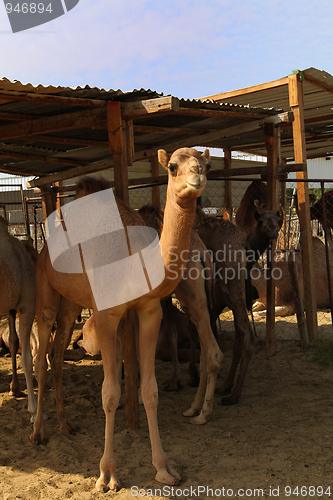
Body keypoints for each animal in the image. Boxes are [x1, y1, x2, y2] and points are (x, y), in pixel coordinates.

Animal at [29, 147, 219, 492]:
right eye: (173, 167)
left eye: (206, 164)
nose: (197, 176)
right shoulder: (106, 314)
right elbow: (110, 392)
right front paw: (106, 475)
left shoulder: (149, 311)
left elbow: (150, 391)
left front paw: (165, 469)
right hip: (45, 286)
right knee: (41, 354)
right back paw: (38, 433)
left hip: (71, 303)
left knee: (57, 353)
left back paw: (66, 424)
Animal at [195, 209, 280, 404]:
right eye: (260, 221)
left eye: (278, 220)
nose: (273, 231)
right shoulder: (222, 304)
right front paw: (222, 384)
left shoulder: (220, 304)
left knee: (247, 337)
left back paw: (233, 394)